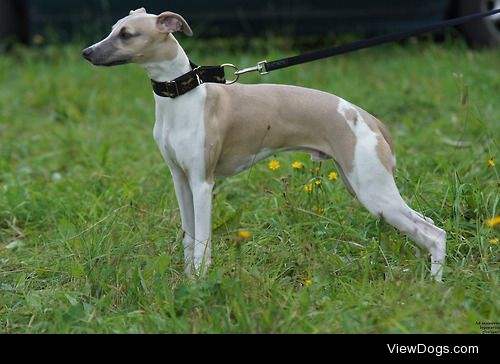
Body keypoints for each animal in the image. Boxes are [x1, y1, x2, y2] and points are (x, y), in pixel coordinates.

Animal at [82, 9, 446, 282]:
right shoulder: (180, 180)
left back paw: (435, 285)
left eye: (127, 34)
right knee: (424, 226)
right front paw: (186, 279)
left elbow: (202, 241)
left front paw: (199, 283)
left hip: (373, 191)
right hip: (363, 186)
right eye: (113, 29)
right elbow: (189, 236)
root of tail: (367, 117)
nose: (86, 53)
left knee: (435, 233)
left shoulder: (202, 183)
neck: (183, 96)